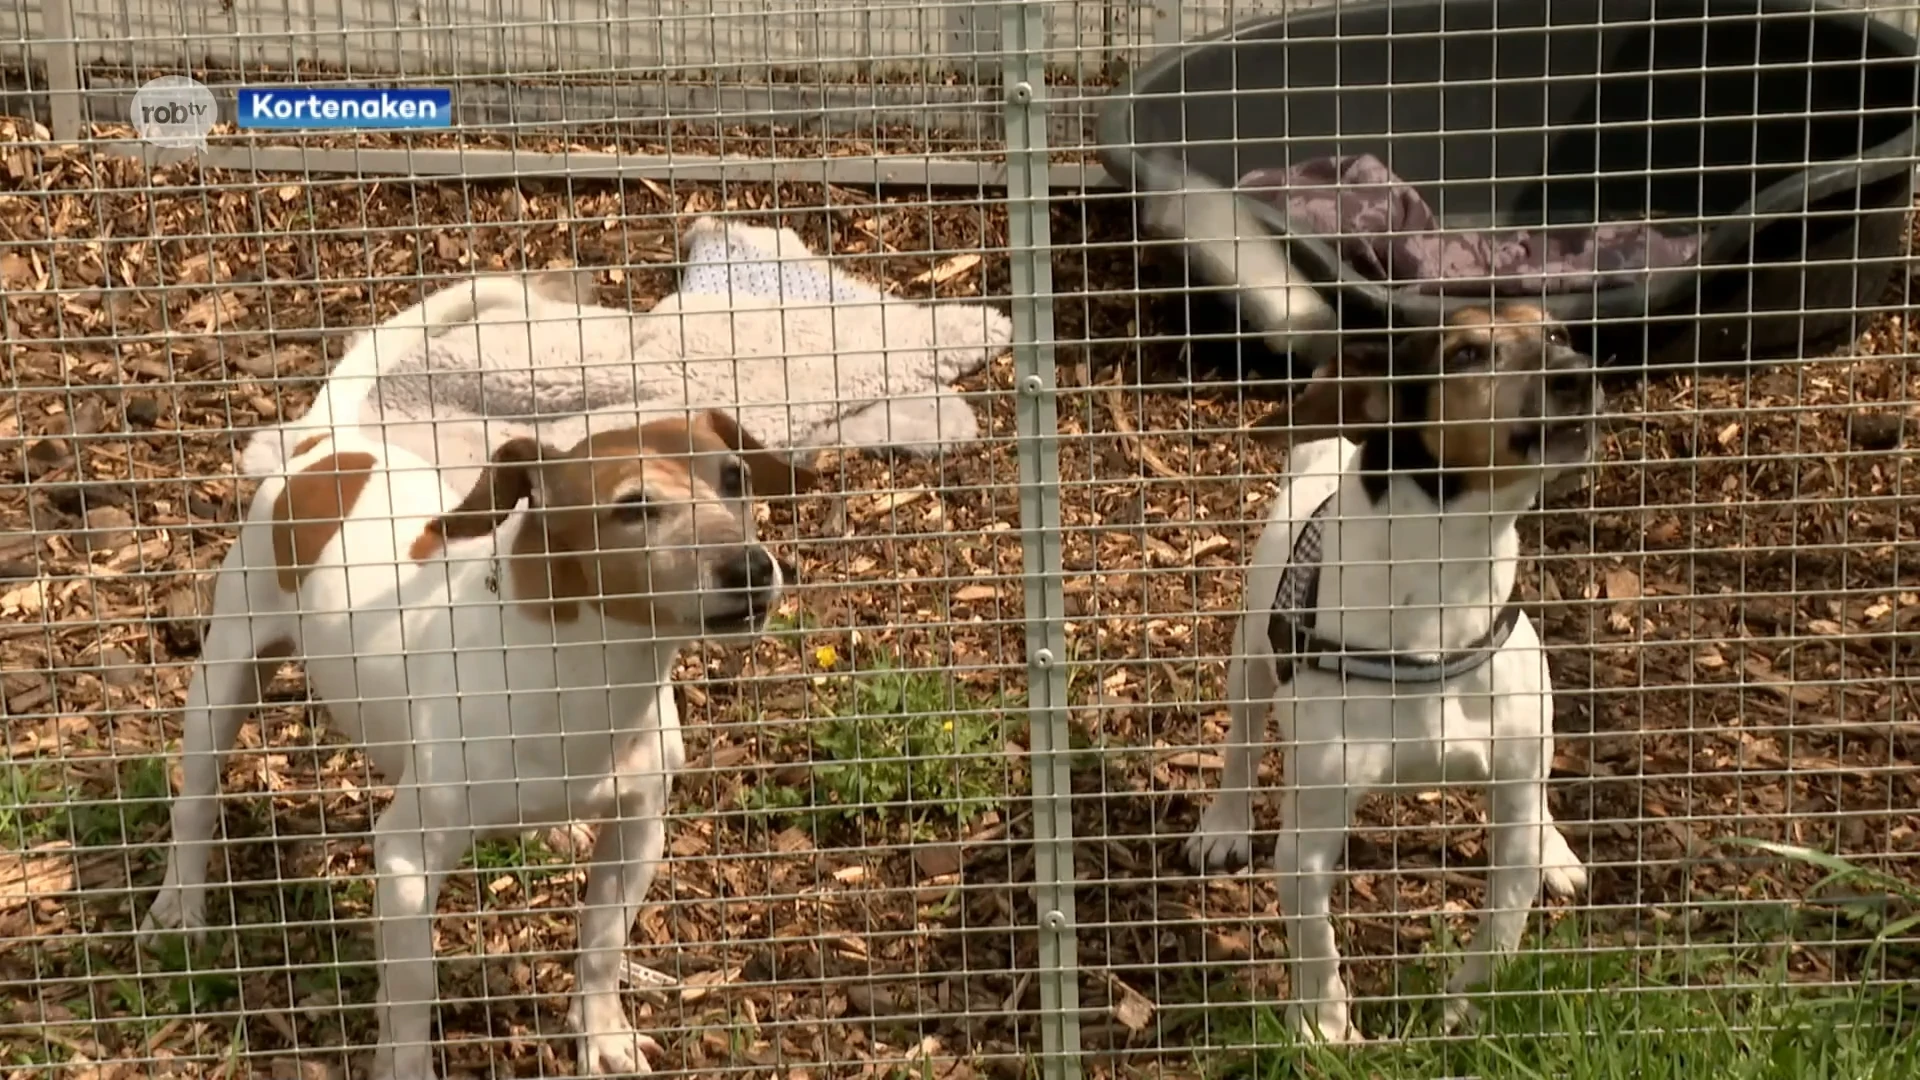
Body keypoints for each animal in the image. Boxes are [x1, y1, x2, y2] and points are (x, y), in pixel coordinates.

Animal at [142, 407, 814, 1068]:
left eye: (735, 477)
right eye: (633, 506)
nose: (752, 568)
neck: (584, 669)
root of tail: (326, 441)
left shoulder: (637, 829)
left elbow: (601, 944)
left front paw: (602, 1039)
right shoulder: (407, 860)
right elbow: (413, 988)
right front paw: (405, 1067)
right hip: (225, 673)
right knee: (195, 802)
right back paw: (178, 906)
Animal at [1182, 299, 1605, 1037]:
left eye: (1557, 332)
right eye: (1465, 354)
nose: (1582, 372)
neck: (1440, 598)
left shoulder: (1512, 818)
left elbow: (1499, 928)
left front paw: (1462, 1014)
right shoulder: (1308, 841)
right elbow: (1316, 943)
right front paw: (1325, 1031)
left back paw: (1557, 848)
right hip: (1251, 662)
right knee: (1242, 741)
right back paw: (1226, 823)